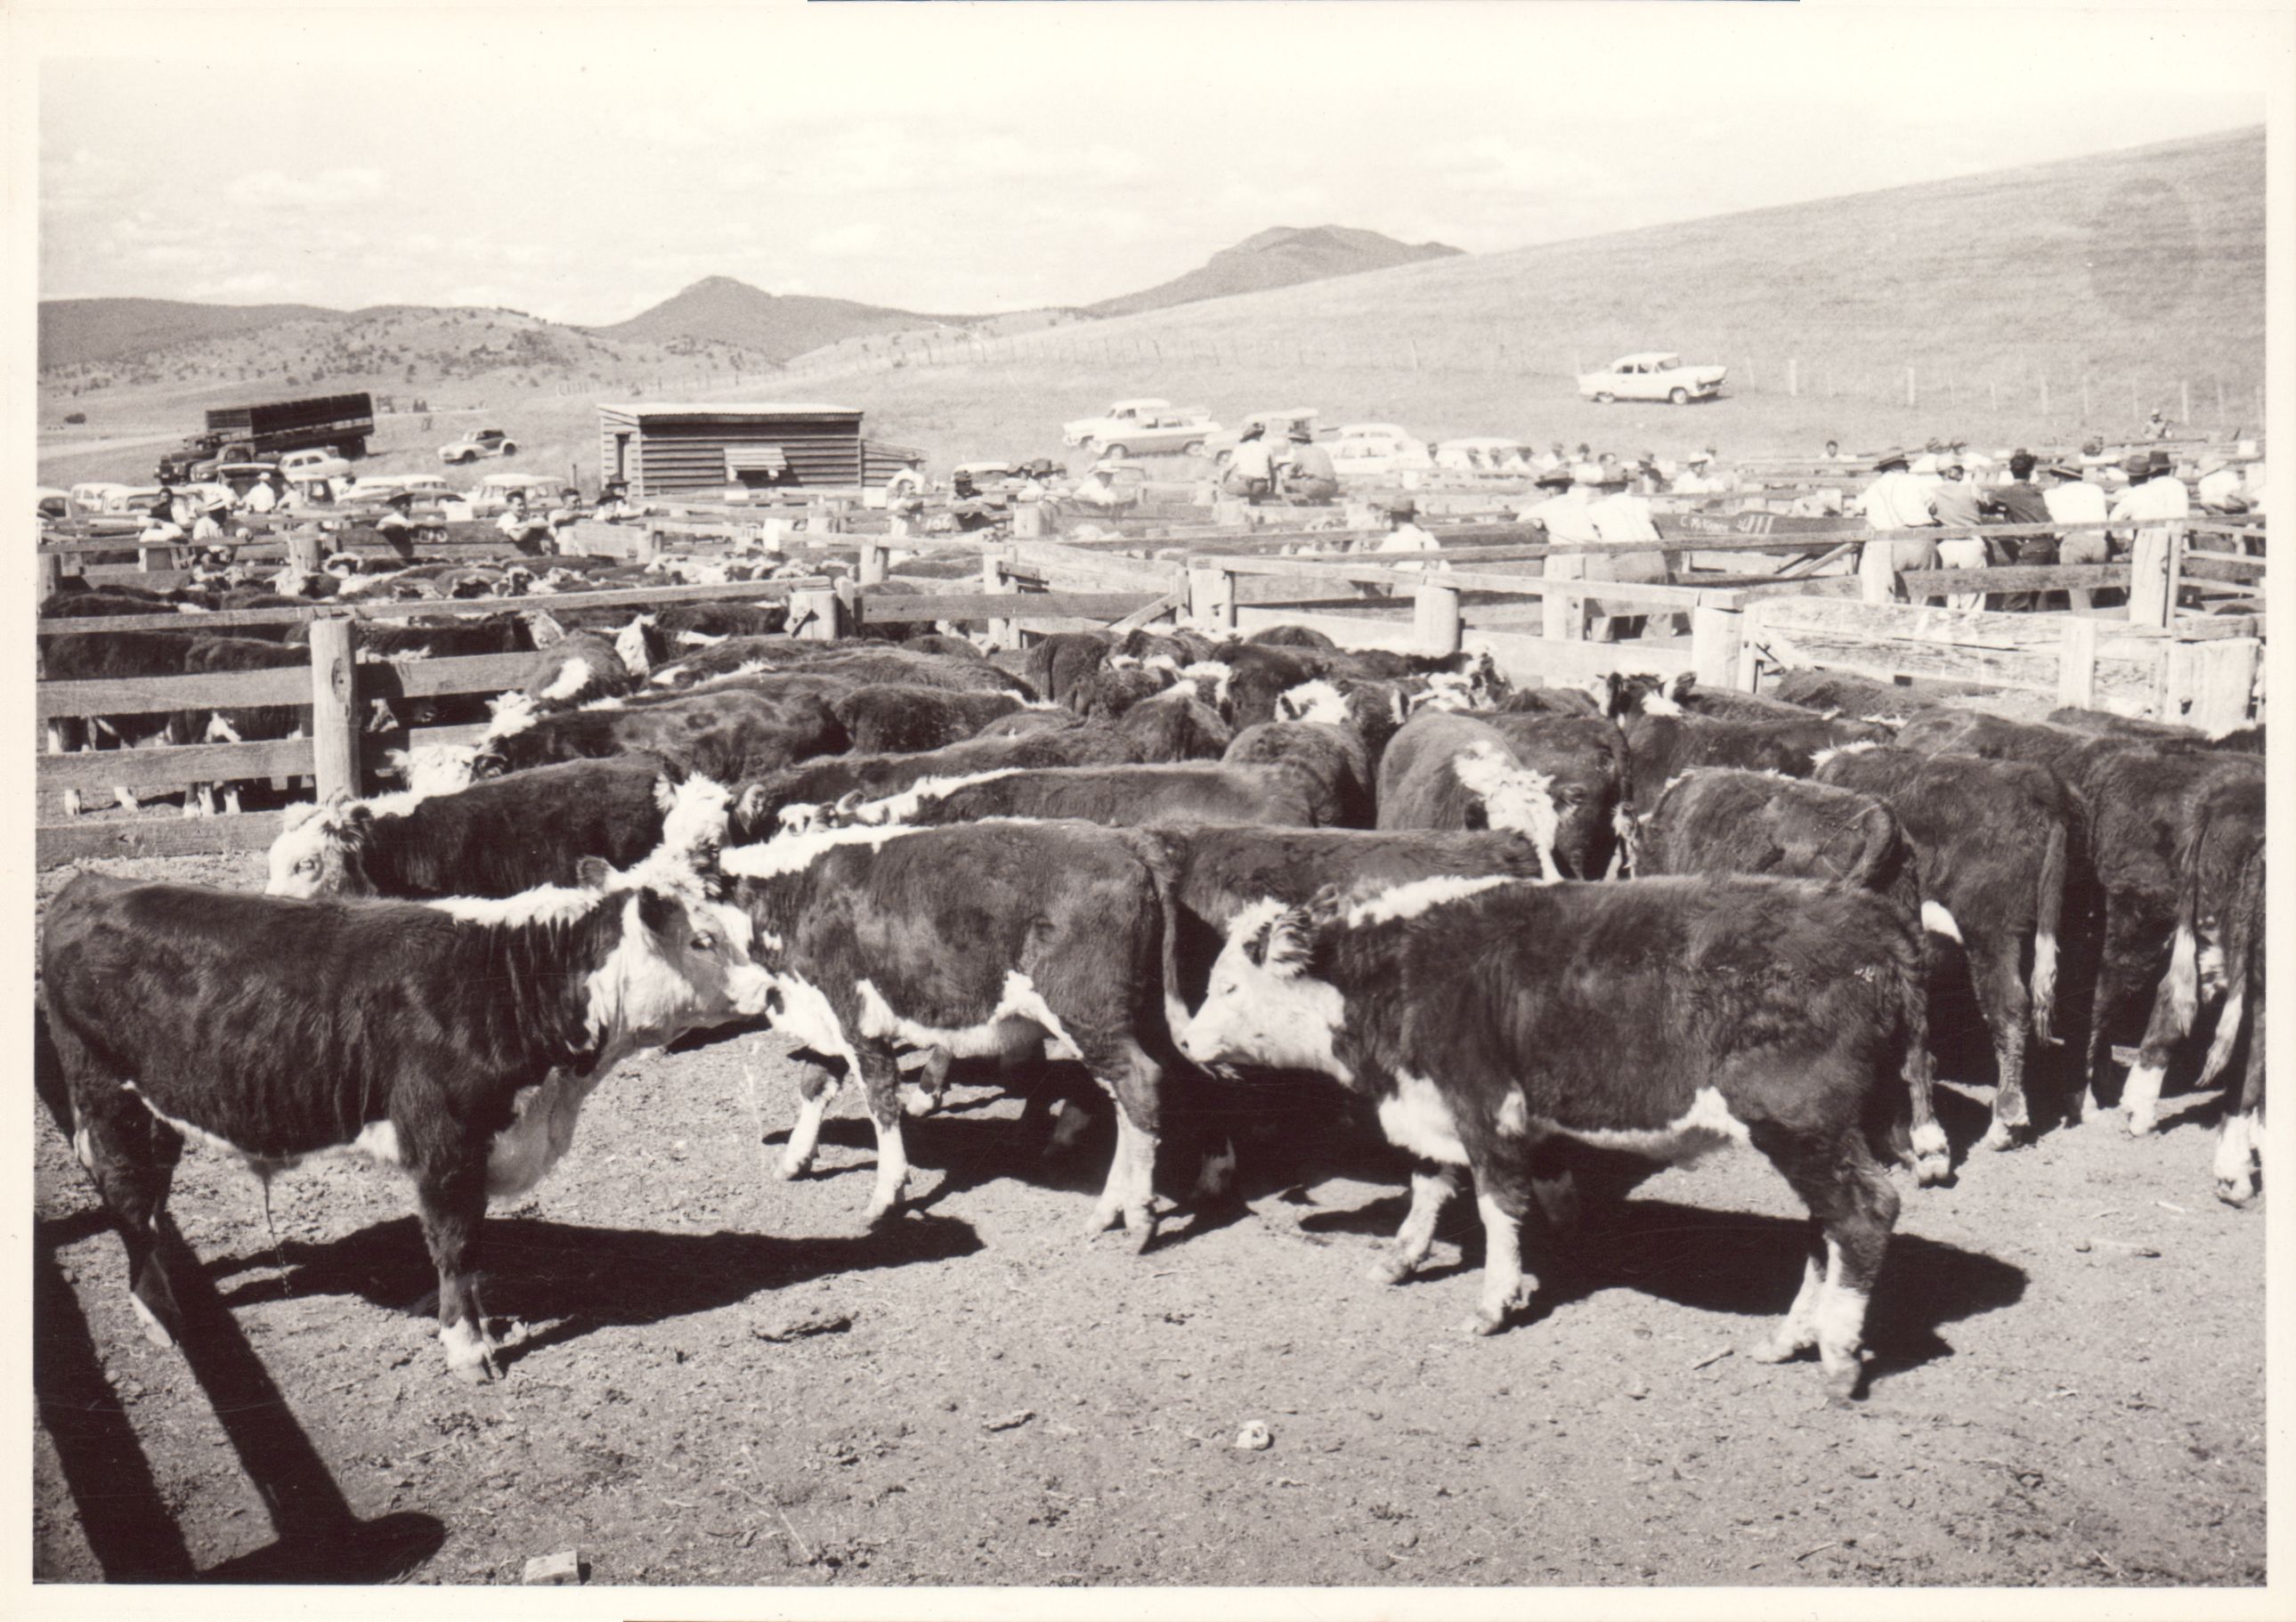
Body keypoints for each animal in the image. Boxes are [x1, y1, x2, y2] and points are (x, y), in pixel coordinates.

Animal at [40, 810, 772, 1382]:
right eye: (702, 938)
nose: (769, 989)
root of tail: (94, 883)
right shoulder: (445, 1147)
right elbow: (456, 1246)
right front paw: (468, 1349)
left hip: (158, 1109)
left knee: (150, 1202)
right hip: (108, 1099)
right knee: (129, 1199)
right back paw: (158, 1316)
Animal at [724, 820, 1183, 1246]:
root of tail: (1124, 841)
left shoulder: (855, 1017)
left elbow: (880, 1101)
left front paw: (886, 1196)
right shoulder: (826, 1019)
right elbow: (814, 1084)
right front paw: (794, 1159)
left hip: (1086, 1012)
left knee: (1137, 1083)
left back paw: (1138, 1217)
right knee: (1122, 1100)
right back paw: (1108, 1210)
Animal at [1175, 874, 1923, 1398]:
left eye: (1230, 987)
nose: (1183, 1041)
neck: (1400, 974)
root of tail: (1879, 926)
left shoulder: (1484, 1105)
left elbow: (1495, 1205)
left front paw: (1494, 1303)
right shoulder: (1441, 1105)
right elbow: (1433, 1183)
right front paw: (1402, 1258)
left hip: (1800, 1124)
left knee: (1863, 1215)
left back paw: (1836, 1355)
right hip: (1822, 1137)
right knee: (1825, 1230)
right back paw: (1793, 1337)